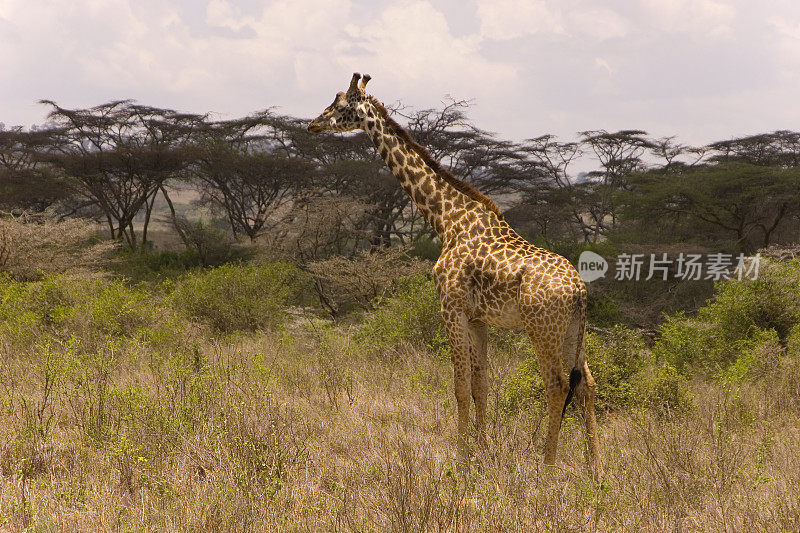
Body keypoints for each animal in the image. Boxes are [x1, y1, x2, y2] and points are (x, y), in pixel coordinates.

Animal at [306, 71, 600, 478]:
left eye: (340, 105)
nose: (312, 124)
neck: (447, 219)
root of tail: (579, 291)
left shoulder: (451, 309)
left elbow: (459, 385)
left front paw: (461, 459)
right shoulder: (478, 318)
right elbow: (480, 385)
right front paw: (483, 452)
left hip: (542, 328)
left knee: (557, 385)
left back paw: (548, 466)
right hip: (574, 329)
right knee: (586, 383)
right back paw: (596, 469)